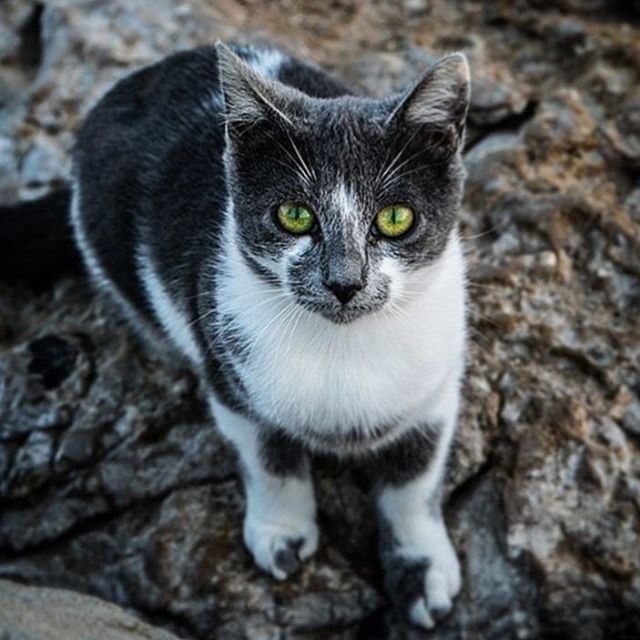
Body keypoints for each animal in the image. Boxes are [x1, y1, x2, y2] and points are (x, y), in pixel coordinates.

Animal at [0, 41, 470, 632]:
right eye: (294, 215)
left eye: (395, 218)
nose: (344, 282)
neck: (344, 349)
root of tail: (147, 75)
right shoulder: (229, 372)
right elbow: (271, 460)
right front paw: (282, 534)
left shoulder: (434, 391)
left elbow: (413, 485)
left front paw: (422, 569)